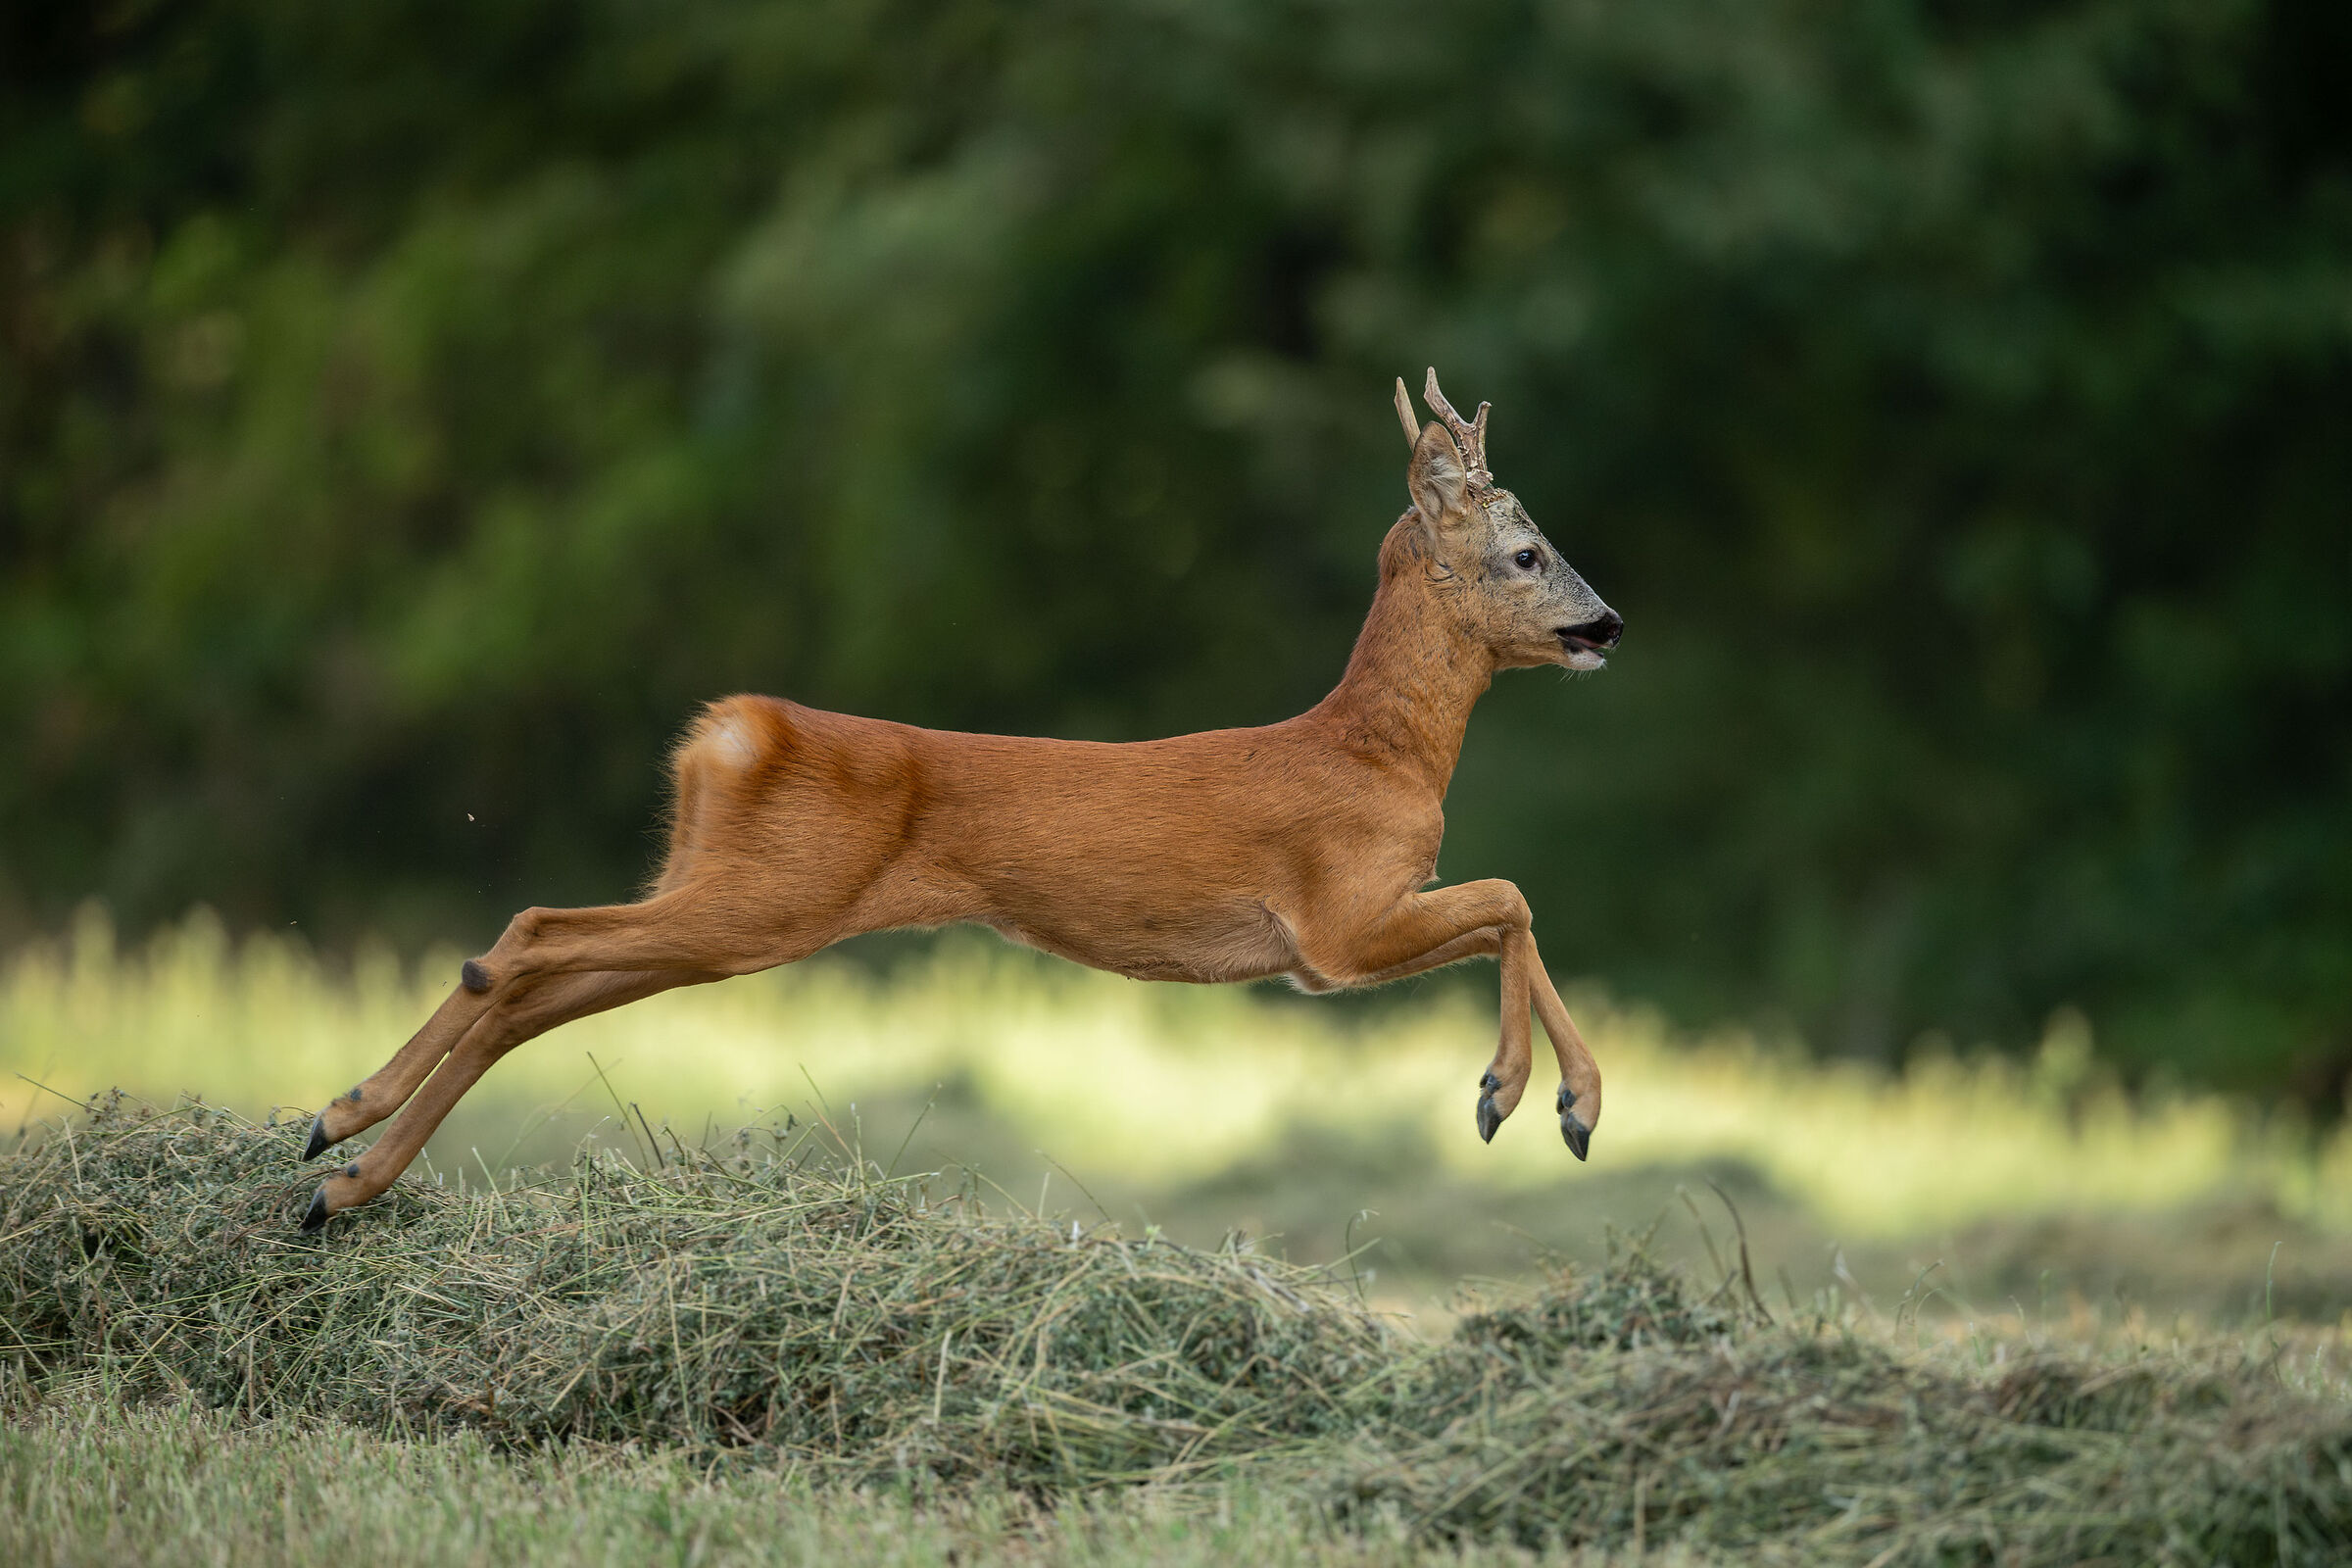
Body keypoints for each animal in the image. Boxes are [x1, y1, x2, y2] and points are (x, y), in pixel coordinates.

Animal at [295, 370, 1624, 1229]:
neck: (1379, 756)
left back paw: (336, 1169)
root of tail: (729, 732)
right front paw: (1529, 1097)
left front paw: (1548, 1102)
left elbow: (1509, 906)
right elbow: (1513, 895)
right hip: (762, 900)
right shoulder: (1336, 924)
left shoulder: (1336, 940)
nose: (1607, 623)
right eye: (1526, 554)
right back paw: (343, 1128)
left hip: (725, 901)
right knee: (527, 937)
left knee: (529, 987)